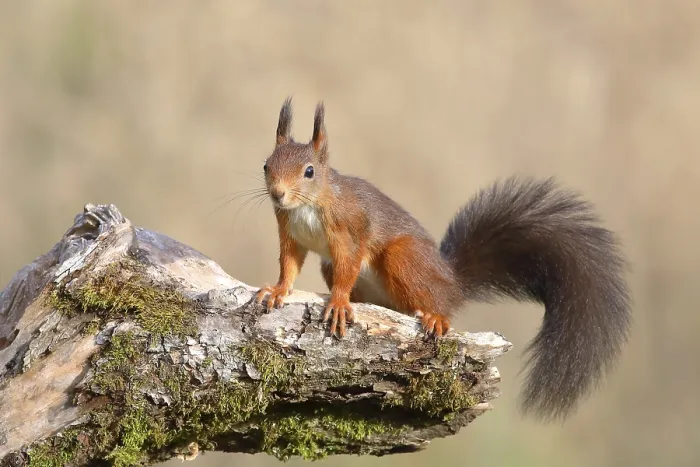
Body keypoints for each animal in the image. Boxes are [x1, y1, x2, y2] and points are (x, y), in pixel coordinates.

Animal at [254, 98, 632, 421]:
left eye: (309, 172)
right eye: (266, 165)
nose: (278, 193)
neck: (307, 205)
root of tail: (453, 281)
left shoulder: (349, 231)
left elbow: (348, 266)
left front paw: (337, 302)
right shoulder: (289, 231)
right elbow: (289, 264)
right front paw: (278, 290)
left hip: (403, 257)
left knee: (438, 303)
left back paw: (435, 317)